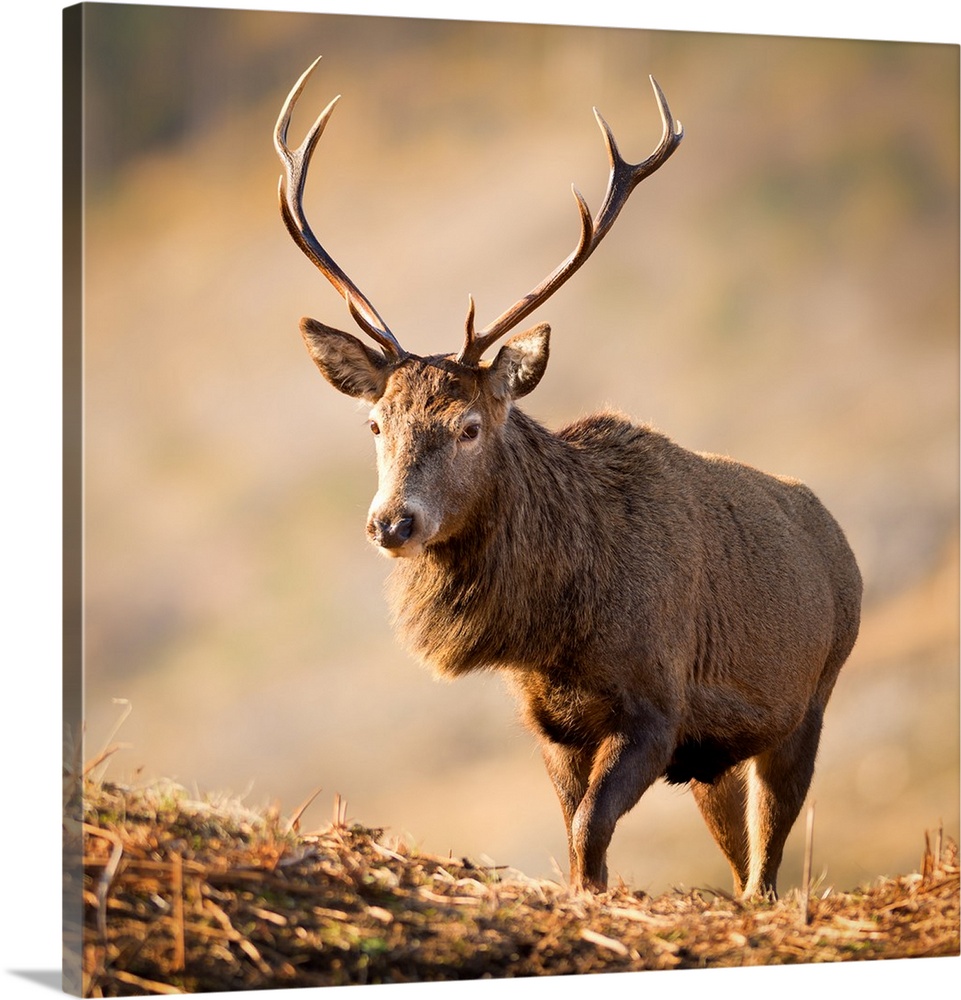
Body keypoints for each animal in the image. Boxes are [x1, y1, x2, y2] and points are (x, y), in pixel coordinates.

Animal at [272, 58, 864, 896]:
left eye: (469, 426)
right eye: (374, 423)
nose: (392, 522)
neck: (557, 629)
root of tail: (837, 542)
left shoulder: (655, 704)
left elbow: (589, 830)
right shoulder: (549, 724)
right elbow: (580, 845)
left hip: (808, 699)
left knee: (767, 862)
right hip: (717, 757)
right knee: (740, 849)